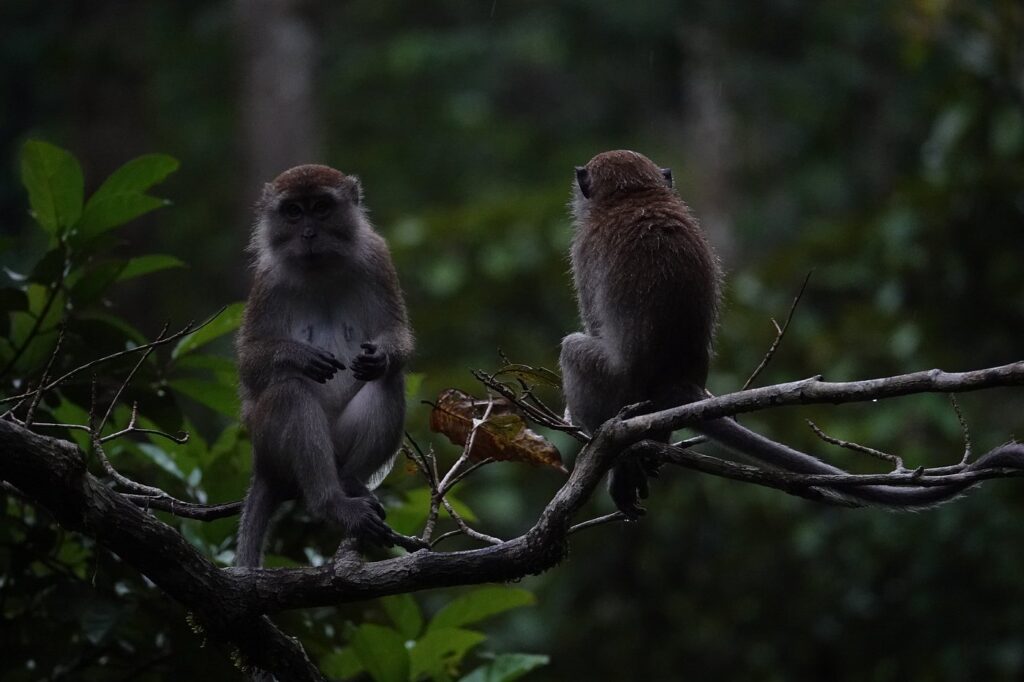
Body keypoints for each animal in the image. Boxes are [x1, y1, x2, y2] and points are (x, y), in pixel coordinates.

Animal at [235, 164, 413, 567]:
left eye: (320, 207)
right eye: (293, 211)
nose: (309, 233)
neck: (320, 267)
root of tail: (260, 464)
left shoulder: (377, 257)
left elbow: (396, 335)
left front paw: (380, 356)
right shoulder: (266, 280)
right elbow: (249, 364)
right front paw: (298, 356)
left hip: (338, 445)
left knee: (388, 381)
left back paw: (350, 482)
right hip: (267, 441)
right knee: (289, 393)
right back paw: (330, 502)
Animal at [560, 149, 1022, 517]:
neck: (635, 196)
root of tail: (676, 380)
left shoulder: (582, 250)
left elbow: (591, 321)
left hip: (616, 385)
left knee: (574, 349)